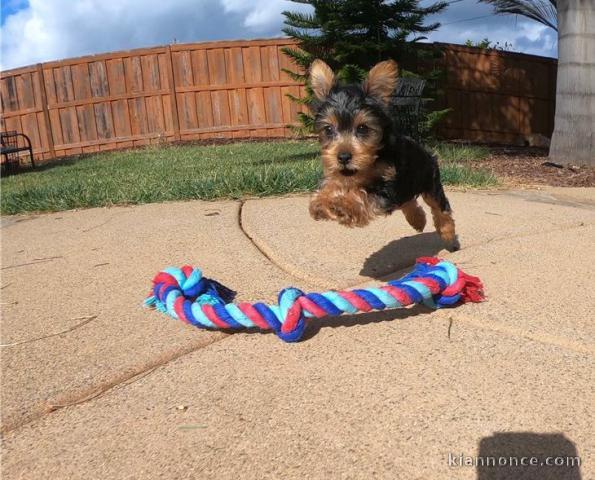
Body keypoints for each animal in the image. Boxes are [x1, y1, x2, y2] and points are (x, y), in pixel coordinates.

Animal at [310, 58, 458, 249]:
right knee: (407, 200)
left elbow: (366, 195)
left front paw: (344, 204)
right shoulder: (342, 174)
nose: (343, 157)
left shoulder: (388, 183)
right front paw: (321, 201)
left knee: (439, 206)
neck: (371, 161)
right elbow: (333, 182)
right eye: (328, 129)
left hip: (429, 181)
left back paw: (448, 234)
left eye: (362, 128)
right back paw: (417, 220)